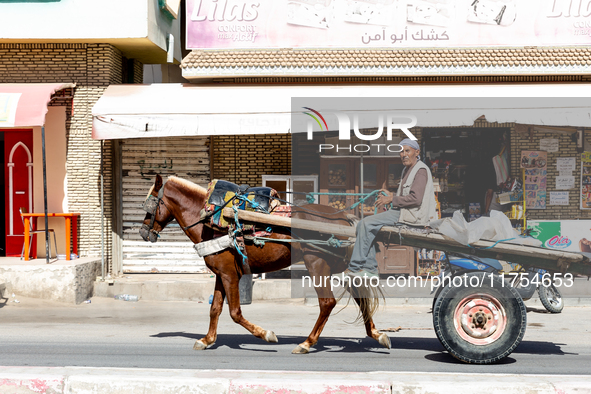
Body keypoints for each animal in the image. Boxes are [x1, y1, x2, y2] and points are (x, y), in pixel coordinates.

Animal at [138, 175, 388, 354]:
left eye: (150, 204)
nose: (142, 232)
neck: (209, 217)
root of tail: (343, 218)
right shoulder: (221, 273)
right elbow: (215, 308)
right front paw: (207, 339)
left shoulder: (230, 274)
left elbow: (235, 312)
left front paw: (266, 334)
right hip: (341, 266)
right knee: (360, 298)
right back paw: (377, 334)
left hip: (317, 264)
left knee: (327, 303)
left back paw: (307, 343)